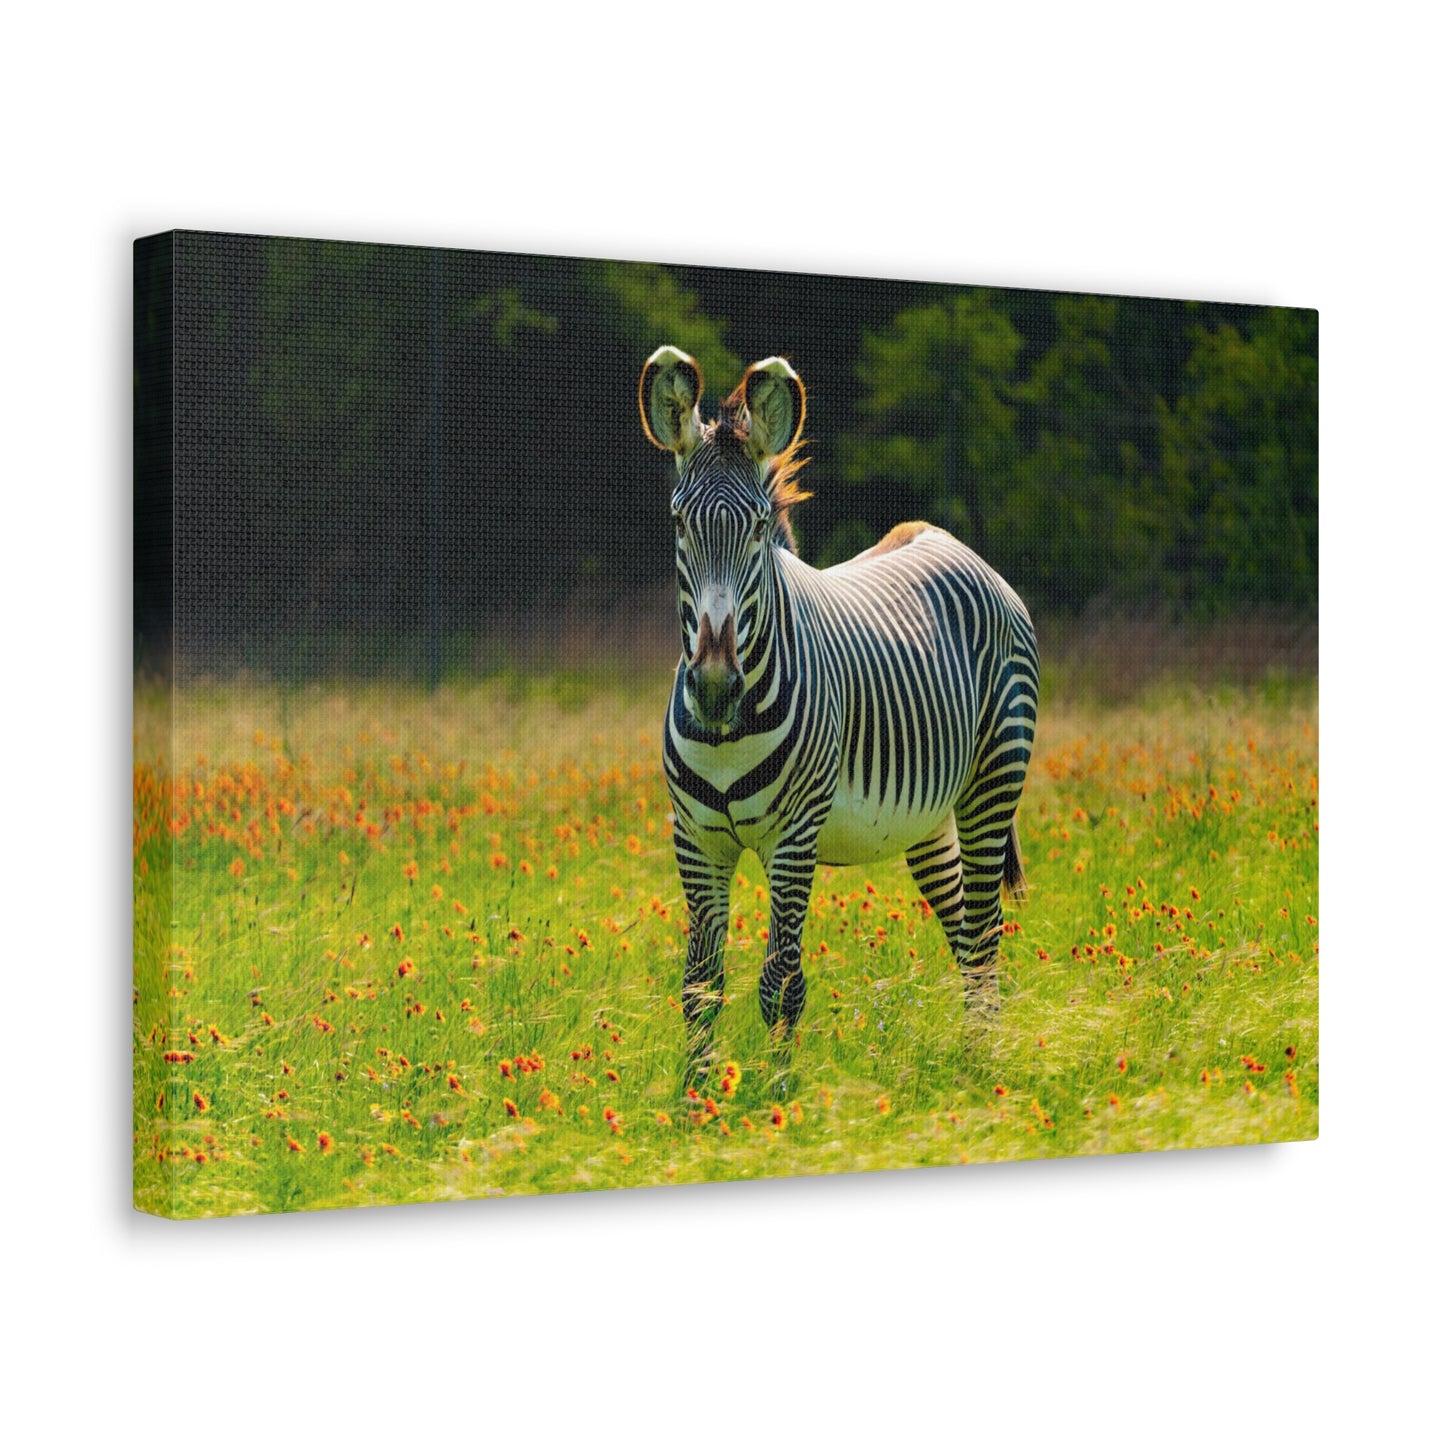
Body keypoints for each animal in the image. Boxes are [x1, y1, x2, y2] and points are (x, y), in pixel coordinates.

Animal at [639, 344, 1040, 1081]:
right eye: (678, 523)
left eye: (758, 528)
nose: (714, 686)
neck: (728, 733)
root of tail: (940, 536)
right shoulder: (696, 838)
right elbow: (699, 985)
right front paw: (696, 1097)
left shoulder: (794, 837)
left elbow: (781, 982)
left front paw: (777, 1092)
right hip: (927, 818)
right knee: (963, 928)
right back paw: (973, 1054)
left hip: (993, 780)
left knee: (986, 932)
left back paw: (982, 1064)